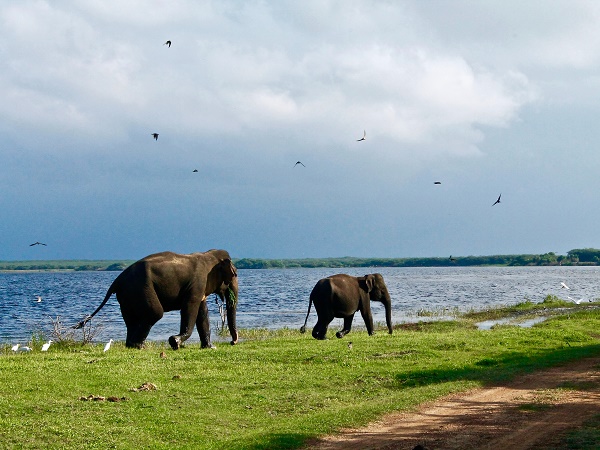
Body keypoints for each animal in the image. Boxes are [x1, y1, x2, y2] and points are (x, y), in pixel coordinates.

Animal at [72, 251, 237, 350]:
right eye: (234, 275)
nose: (232, 342)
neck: (208, 254)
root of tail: (117, 280)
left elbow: (202, 313)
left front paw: (210, 347)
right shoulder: (197, 285)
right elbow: (190, 308)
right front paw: (175, 342)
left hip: (127, 296)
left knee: (131, 320)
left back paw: (132, 345)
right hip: (141, 288)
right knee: (155, 313)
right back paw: (139, 346)